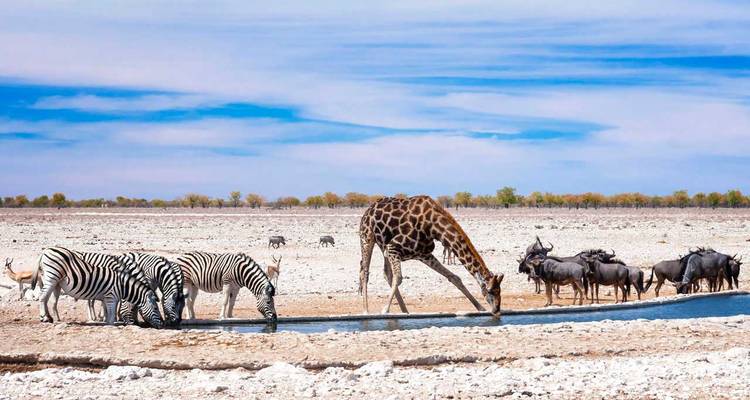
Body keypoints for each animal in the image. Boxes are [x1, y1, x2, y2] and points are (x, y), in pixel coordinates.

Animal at [358, 195, 504, 316]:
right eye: (491, 290)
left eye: (500, 290)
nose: (497, 310)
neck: (433, 227)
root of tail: (368, 210)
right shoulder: (393, 247)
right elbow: (398, 278)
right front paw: (385, 310)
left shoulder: (423, 254)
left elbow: (454, 277)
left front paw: (480, 308)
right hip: (367, 237)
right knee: (365, 272)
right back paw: (366, 311)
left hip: (383, 246)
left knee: (386, 273)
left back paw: (405, 311)